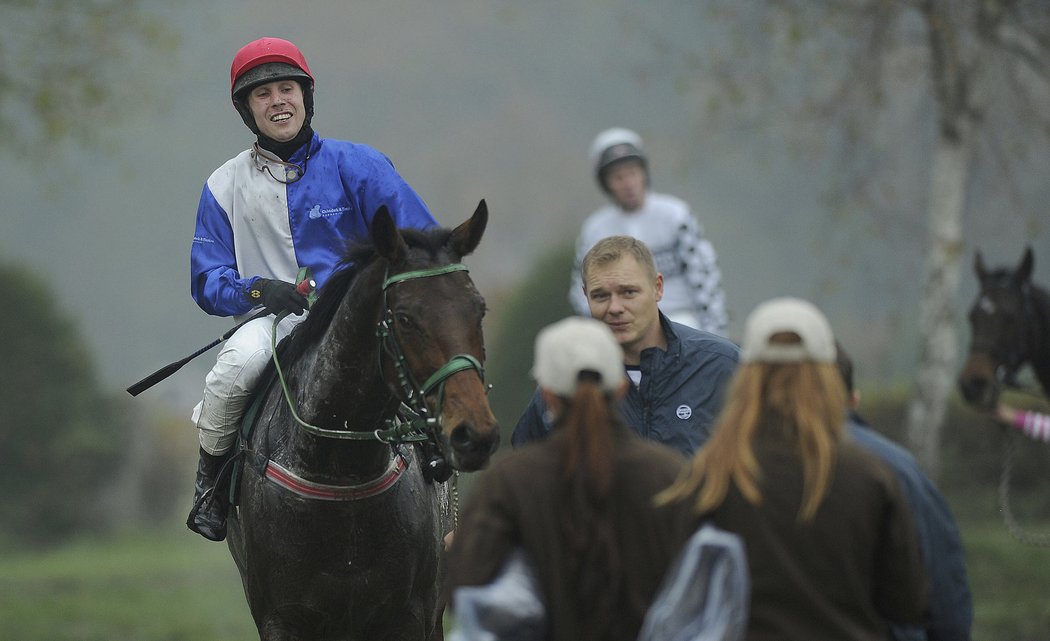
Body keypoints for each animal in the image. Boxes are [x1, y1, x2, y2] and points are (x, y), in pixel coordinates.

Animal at [224, 200, 499, 638]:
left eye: (480, 309)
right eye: (404, 318)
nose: (474, 434)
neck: (340, 473)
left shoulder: (408, 614)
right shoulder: (281, 617)